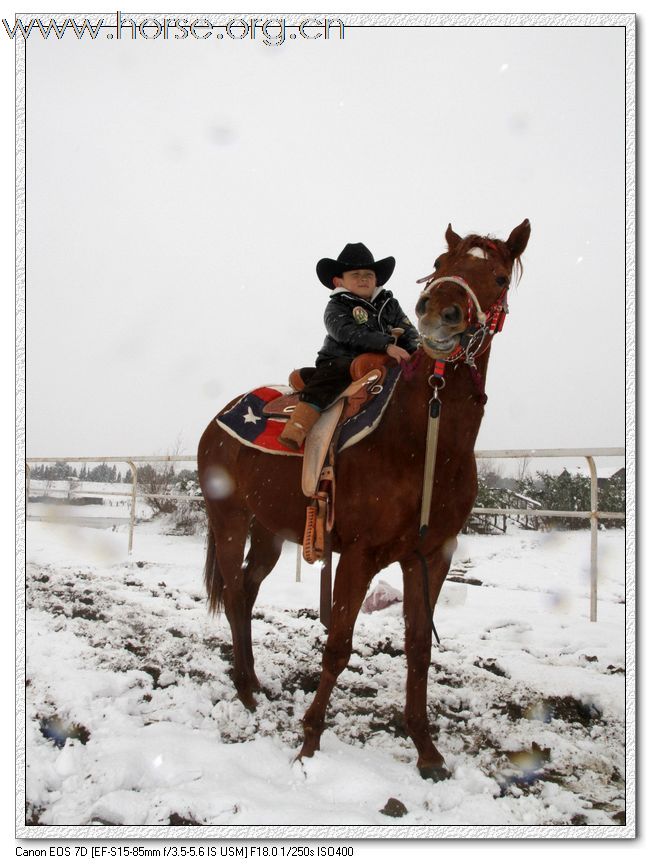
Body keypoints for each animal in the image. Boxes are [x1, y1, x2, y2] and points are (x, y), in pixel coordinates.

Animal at [201, 219, 532, 780]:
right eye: (440, 266)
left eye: (500, 276)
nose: (438, 314)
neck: (422, 439)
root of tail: (222, 417)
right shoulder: (358, 557)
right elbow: (337, 647)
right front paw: (309, 743)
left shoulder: (431, 557)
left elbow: (418, 649)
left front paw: (427, 751)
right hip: (229, 520)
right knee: (232, 595)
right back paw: (244, 691)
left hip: (269, 534)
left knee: (244, 590)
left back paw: (254, 684)